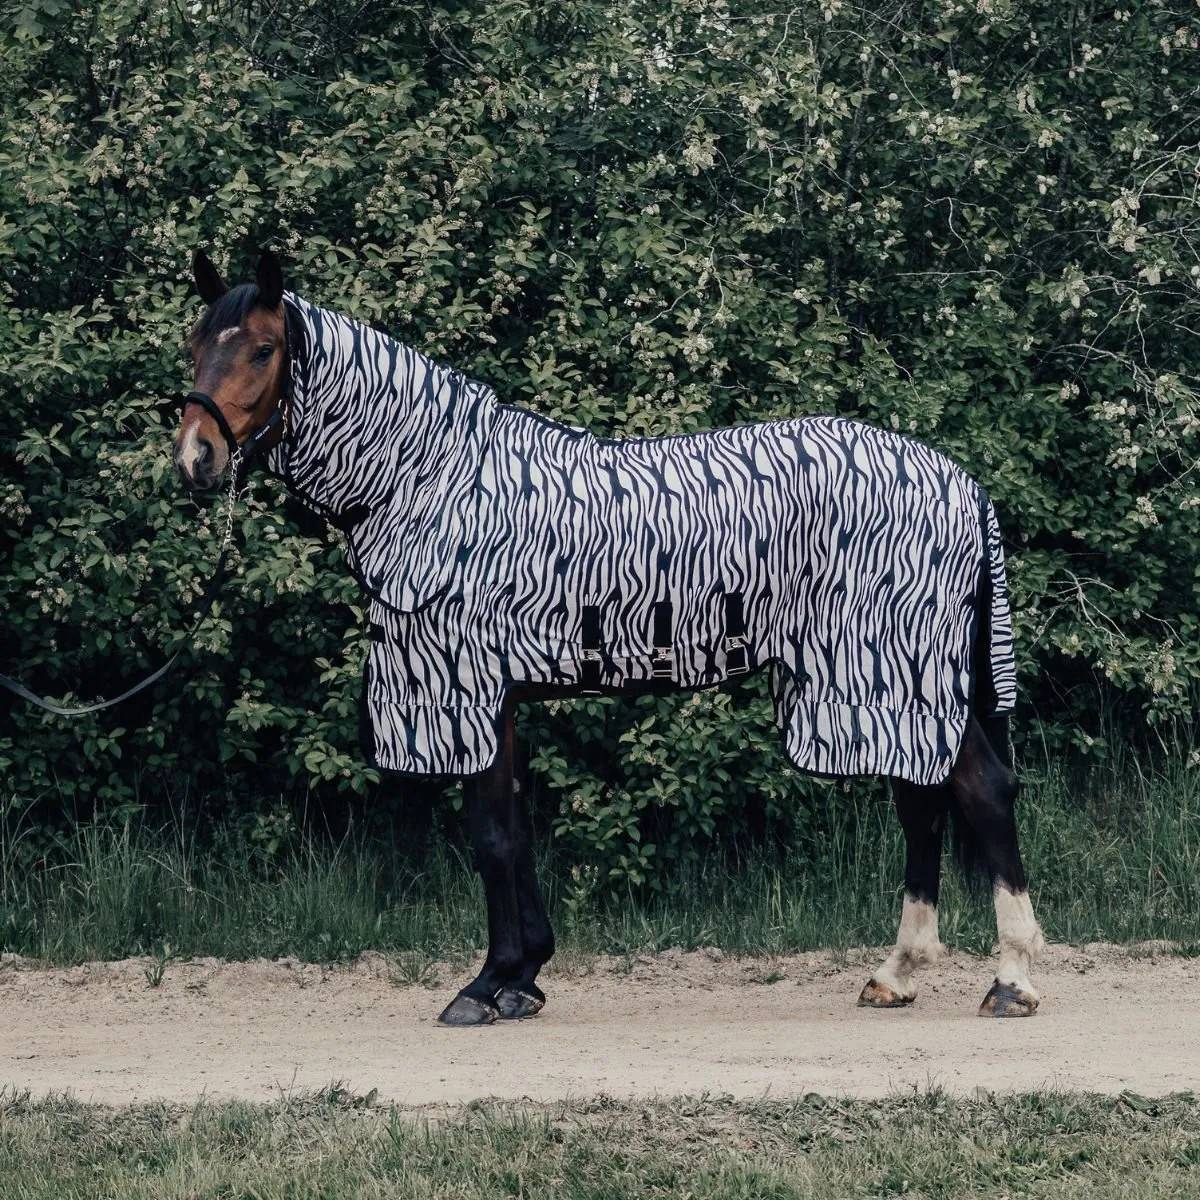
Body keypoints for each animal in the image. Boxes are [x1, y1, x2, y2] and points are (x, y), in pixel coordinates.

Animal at [175, 250, 1045, 1026]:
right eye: (195, 341)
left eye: (262, 349)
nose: (194, 458)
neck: (436, 479)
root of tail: (963, 485)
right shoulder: (500, 696)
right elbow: (515, 829)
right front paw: (523, 977)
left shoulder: (467, 683)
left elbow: (491, 836)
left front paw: (486, 985)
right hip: (892, 684)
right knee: (926, 802)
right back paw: (898, 975)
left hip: (891, 672)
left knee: (979, 793)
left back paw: (1011, 981)